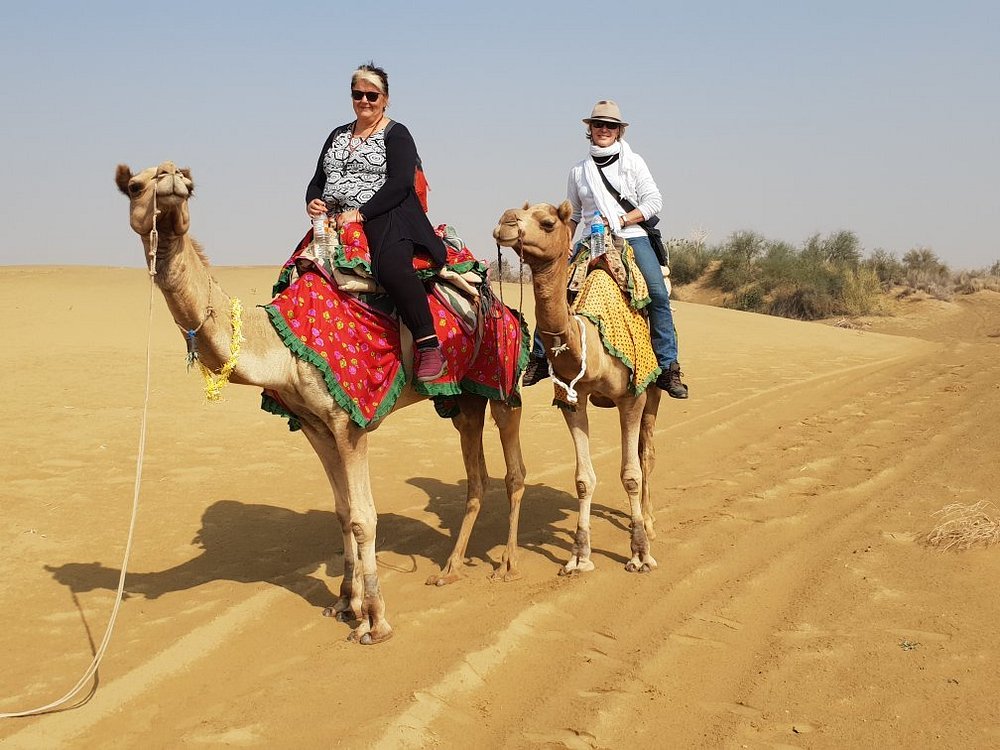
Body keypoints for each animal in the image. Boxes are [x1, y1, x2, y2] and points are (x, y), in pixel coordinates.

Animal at [116, 162, 528, 644]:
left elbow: (364, 517)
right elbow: (343, 512)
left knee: (514, 469)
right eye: (135, 187)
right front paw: (346, 603)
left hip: (501, 378)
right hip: (463, 399)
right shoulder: (314, 424)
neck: (281, 344)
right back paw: (450, 570)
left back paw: (508, 566)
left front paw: (374, 620)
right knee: (475, 474)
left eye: (186, 182)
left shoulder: (350, 421)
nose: (170, 178)